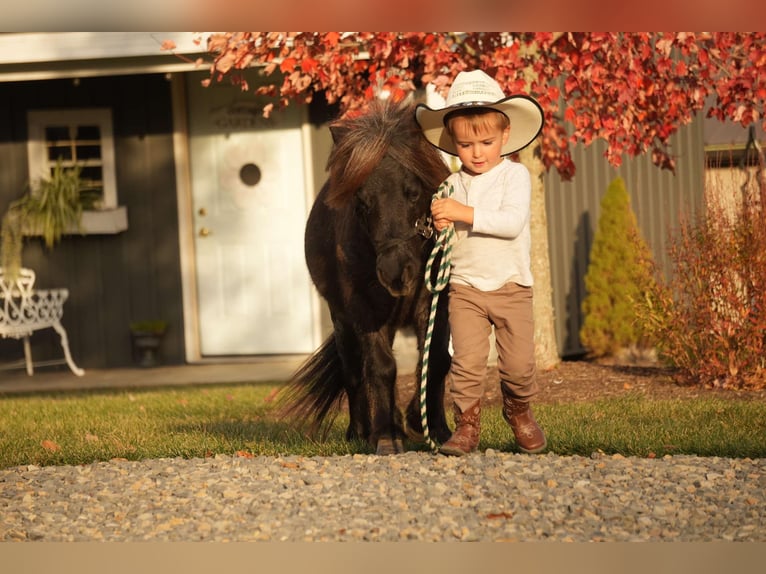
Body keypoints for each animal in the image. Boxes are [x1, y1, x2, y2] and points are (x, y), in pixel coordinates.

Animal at [280, 100, 452, 460]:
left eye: (413, 192)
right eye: (361, 201)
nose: (396, 271)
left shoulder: (434, 302)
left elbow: (435, 360)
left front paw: (434, 428)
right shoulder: (365, 311)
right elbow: (380, 368)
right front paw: (386, 437)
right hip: (343, 321)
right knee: (354, 373)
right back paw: (361, 432)